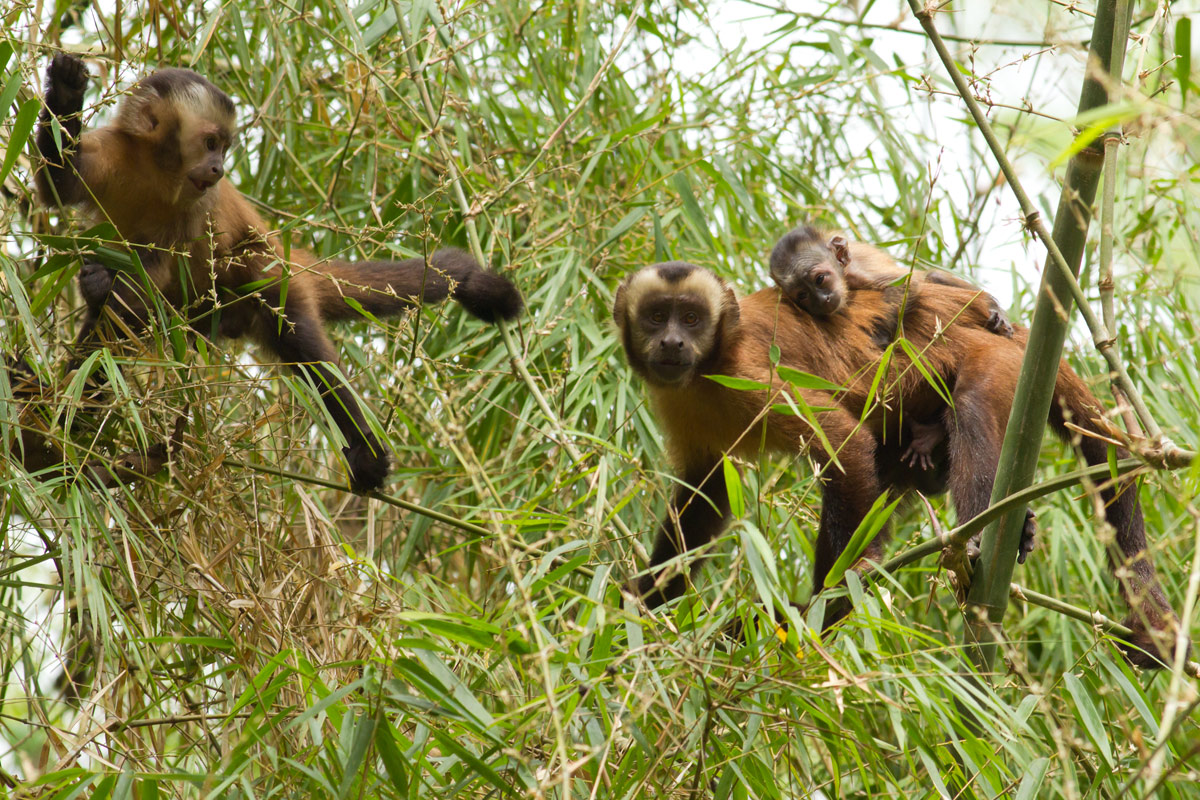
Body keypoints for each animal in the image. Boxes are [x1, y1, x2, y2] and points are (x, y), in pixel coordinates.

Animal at [34, 54, 523, 492]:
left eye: (224, 147)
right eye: (211, 144)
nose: (219, 169)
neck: (157, 172)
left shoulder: (196, 207)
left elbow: (151, 278)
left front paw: (105, 284)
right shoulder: (113, 154)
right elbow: (58, 186)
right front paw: (66, 94)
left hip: (274, 284)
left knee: (302, 344)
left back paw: (364, 451)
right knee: (114, 337)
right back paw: (53, 426)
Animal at [615, 261, 1182, 668]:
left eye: (691, 318)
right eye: (656, 317)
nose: (672, 341)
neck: (712, 362)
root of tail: (1017, 332)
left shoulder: (752, 376)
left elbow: (842, 450)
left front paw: (824, 601)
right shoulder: (682, 402)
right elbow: (704, 496)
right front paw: (645, 606)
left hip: (1001, 365)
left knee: (969, 410)